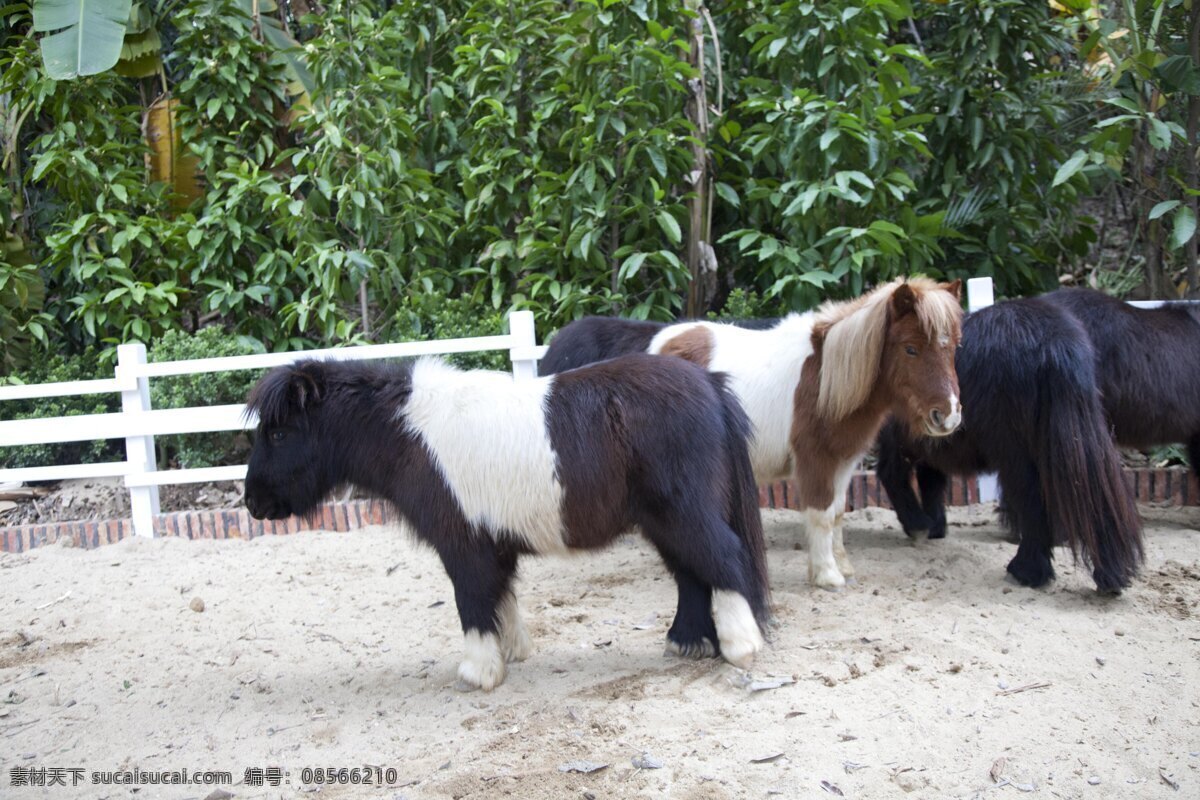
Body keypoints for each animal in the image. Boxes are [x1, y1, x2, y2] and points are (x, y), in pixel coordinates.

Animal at [242, 354, 770, 691]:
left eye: (279, 432)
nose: (251, 502)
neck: (412, 436)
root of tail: (709, 384)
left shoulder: (464, 546)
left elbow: (473, 602)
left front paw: (479, 673)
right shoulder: (493, 541)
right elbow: (502, 597)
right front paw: (511, 652)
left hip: (683, 512)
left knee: (723, 557)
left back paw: (740, 646)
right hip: (664, 523)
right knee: (691, 572)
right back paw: (688, 643)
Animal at [540, 277, 964, 589]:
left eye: (953, 347)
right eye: (910, 349)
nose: (948, 415)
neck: (826, 378)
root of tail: (656, 345)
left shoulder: (843, 461)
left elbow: (838, 514)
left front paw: (842, 566)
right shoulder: (815, 462)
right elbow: (820, 515)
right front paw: (827, 576)